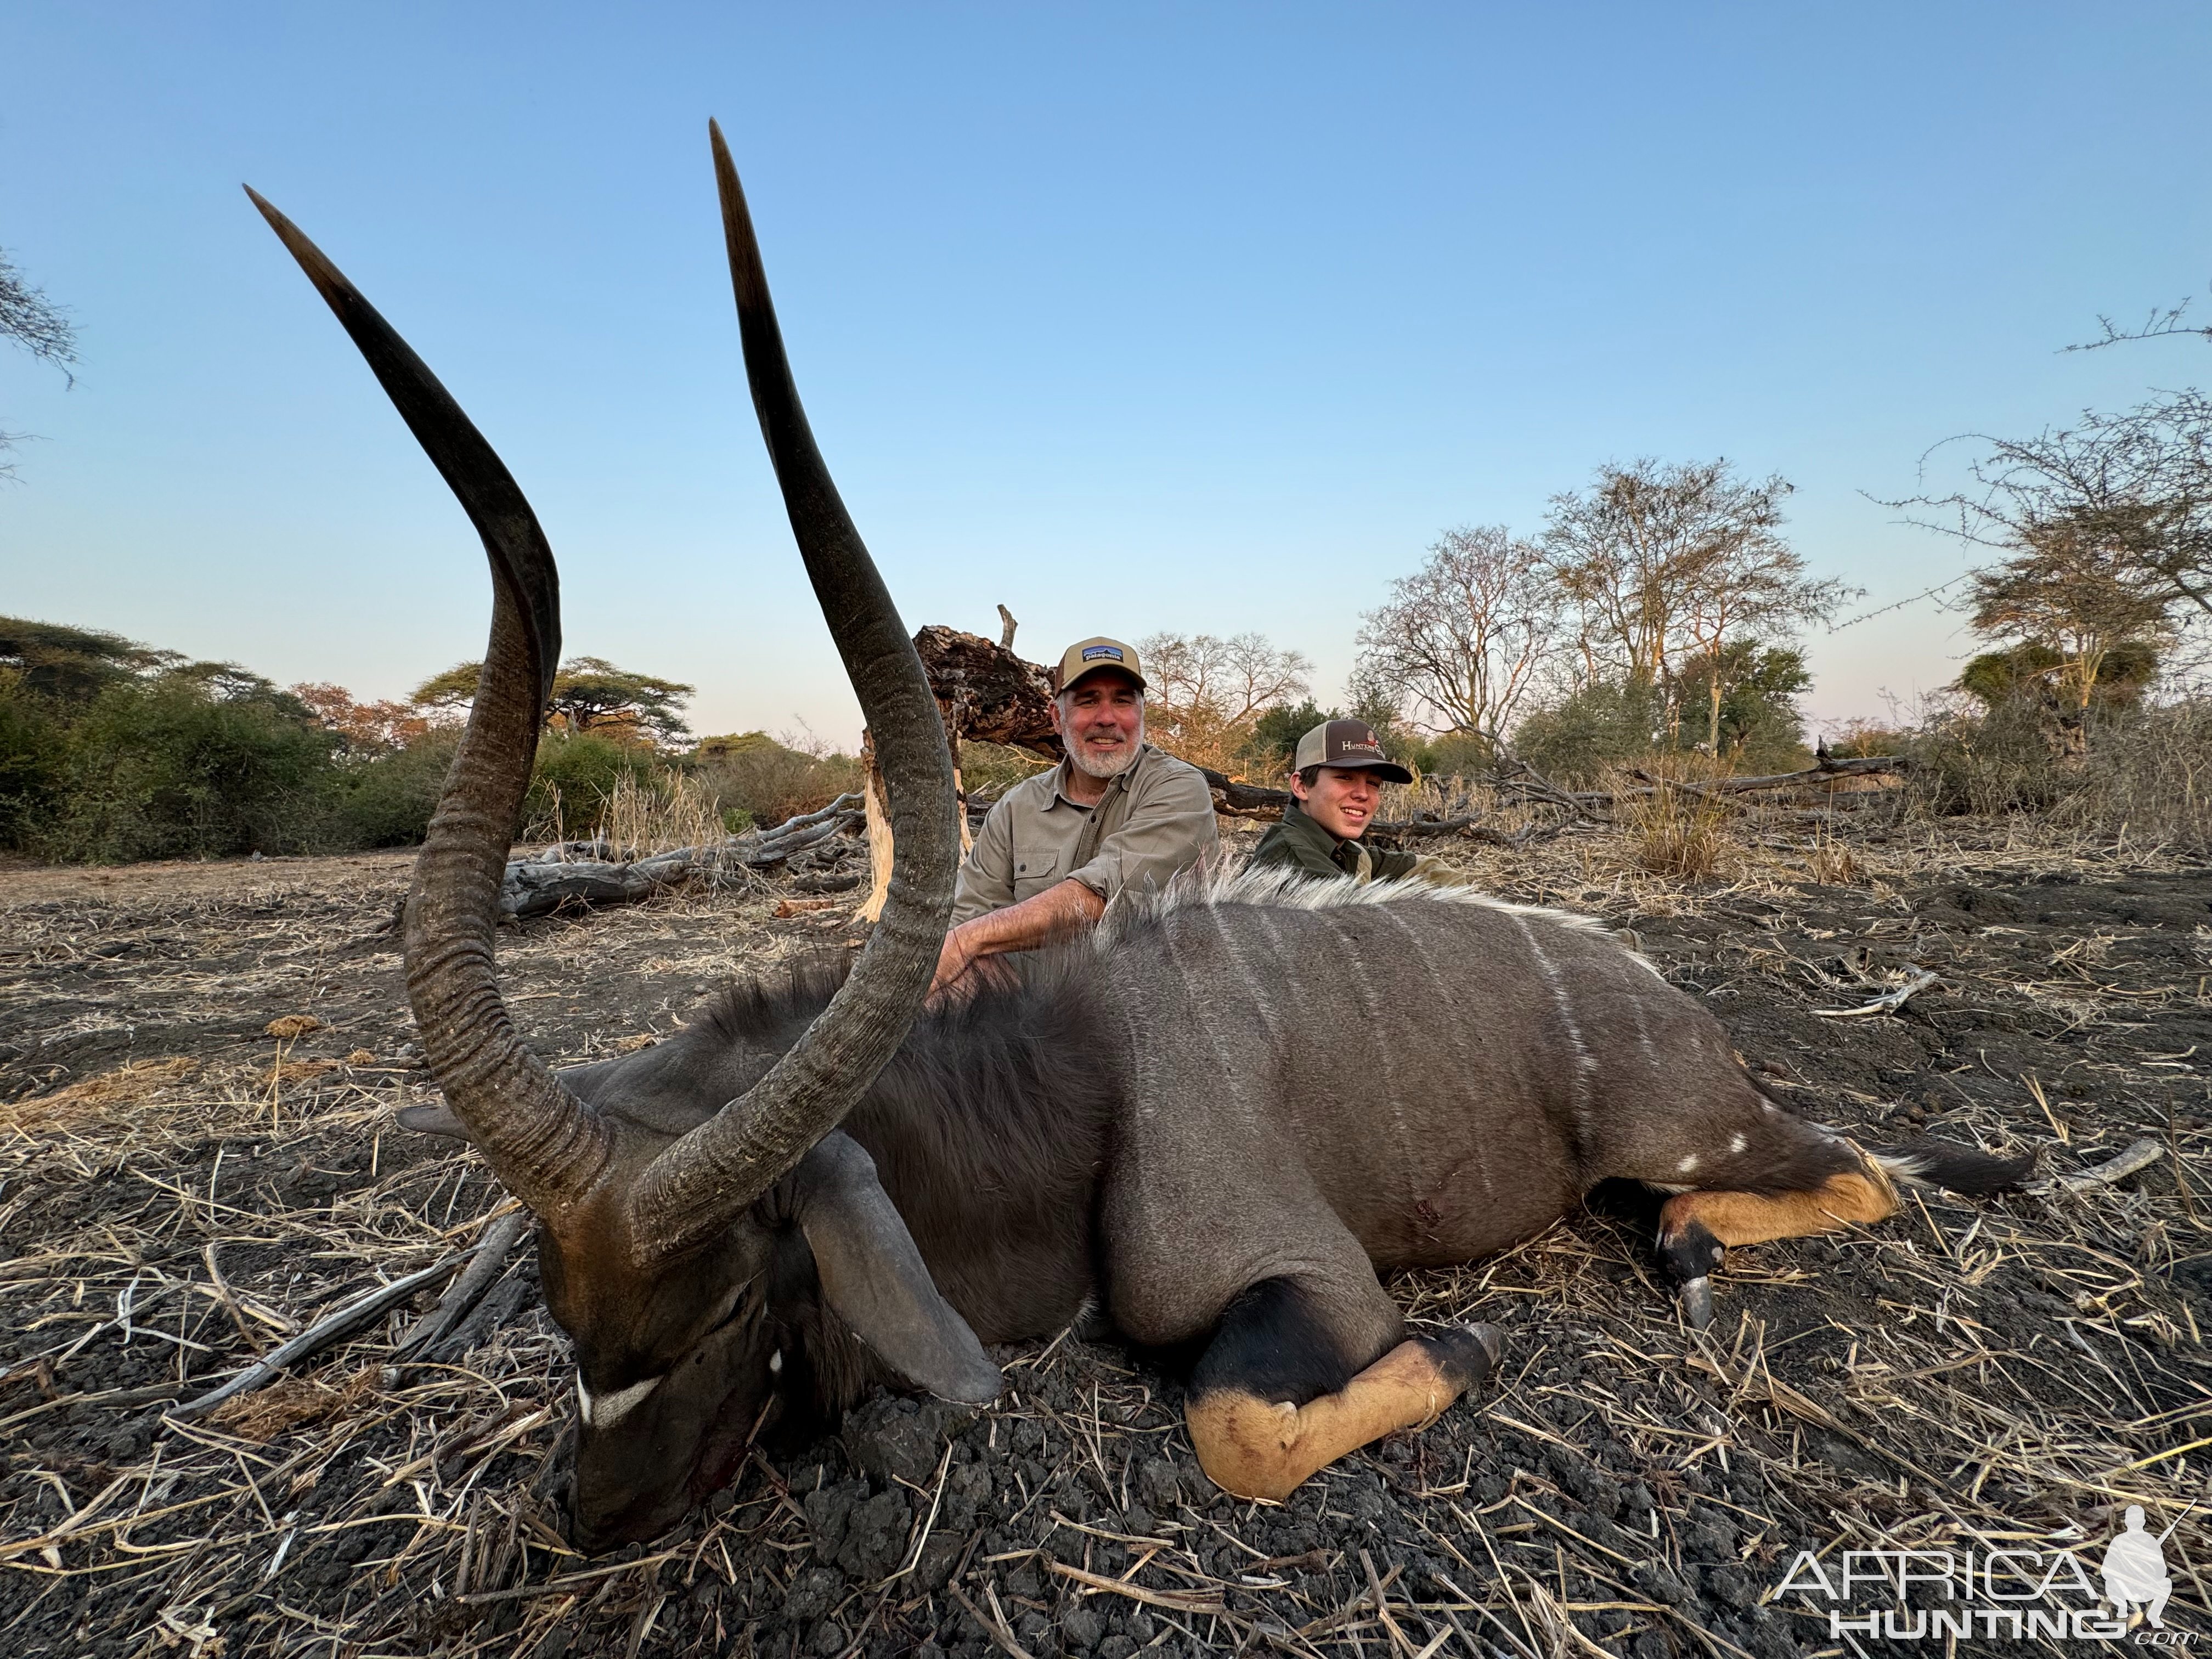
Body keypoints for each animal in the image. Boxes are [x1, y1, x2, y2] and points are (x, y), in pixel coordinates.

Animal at [251, 123, 2026, 1557]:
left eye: (736, 1292)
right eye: (566, 1311)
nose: (592, 1513)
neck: (1077, 1078)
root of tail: (1660, 998)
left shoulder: (1303, 1281)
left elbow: (1239, 1420)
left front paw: (1464, 1352)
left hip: (1690, 1140)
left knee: (1856, 1173)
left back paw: (1693, 1245)